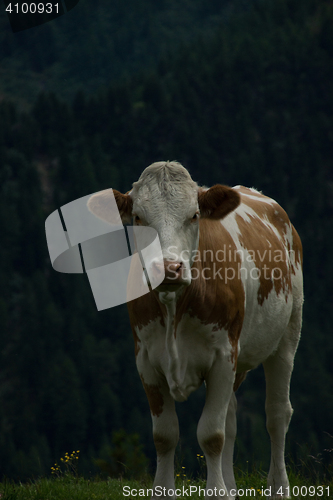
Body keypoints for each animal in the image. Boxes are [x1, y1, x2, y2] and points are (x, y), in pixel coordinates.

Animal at [87, 162, 302, 498]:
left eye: (194, 215)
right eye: (139, 218)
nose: (169, 268)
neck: (174, 304)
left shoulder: (223, 355)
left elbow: (211, 435)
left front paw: (217, 491)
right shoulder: (145, 360)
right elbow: (165, 435)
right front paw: (167, 490)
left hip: (287, 336)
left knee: (277, 415)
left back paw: (279, 487)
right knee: (231, 417)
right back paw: (232, 486)